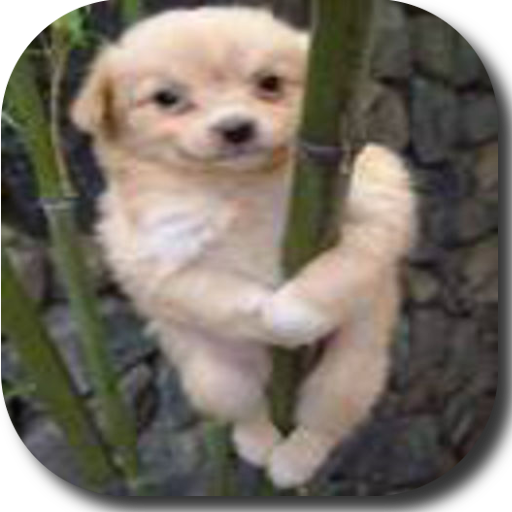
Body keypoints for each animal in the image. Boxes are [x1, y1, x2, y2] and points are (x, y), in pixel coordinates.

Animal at [72, 6, 416, 489]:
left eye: (269, 83)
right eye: (166, 98)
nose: (236, 127)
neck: (239, 186)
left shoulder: (379, 199)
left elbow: (347, 264)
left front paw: (294, 310)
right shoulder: (157, 262)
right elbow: (219, 296)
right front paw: (267, 314)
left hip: (349, 371)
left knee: (321, 425)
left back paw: (292, 464)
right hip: (215, 377)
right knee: (246, 413)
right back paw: (259, 444)